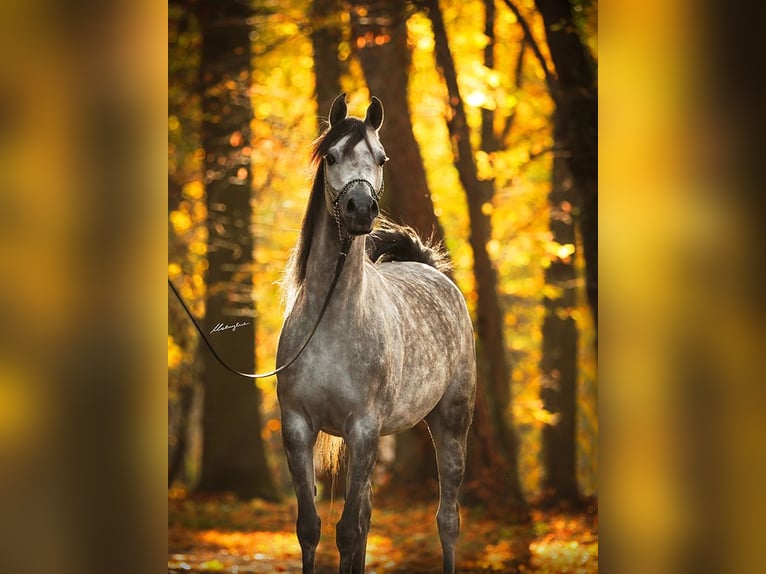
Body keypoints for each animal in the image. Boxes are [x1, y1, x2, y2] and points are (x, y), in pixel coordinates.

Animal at [276, 93, 476, 574]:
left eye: (381, 158)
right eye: (331, 157)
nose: (361, 210)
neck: (333, 322)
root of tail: (427, 266)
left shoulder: (363, 429)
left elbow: (347, 532)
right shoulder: (298, 427)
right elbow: (312, 528)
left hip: (451, 422)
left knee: (447, 519)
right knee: (367, 516)